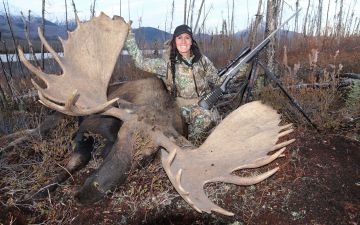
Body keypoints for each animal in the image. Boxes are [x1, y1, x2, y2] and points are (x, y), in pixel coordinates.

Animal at [16, 12, 296, 216]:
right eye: (121, 138)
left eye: (146, 157)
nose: (88, 192)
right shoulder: (87, 125)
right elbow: (77, 158)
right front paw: (31, 197)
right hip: (58, 116)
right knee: (30, 132)